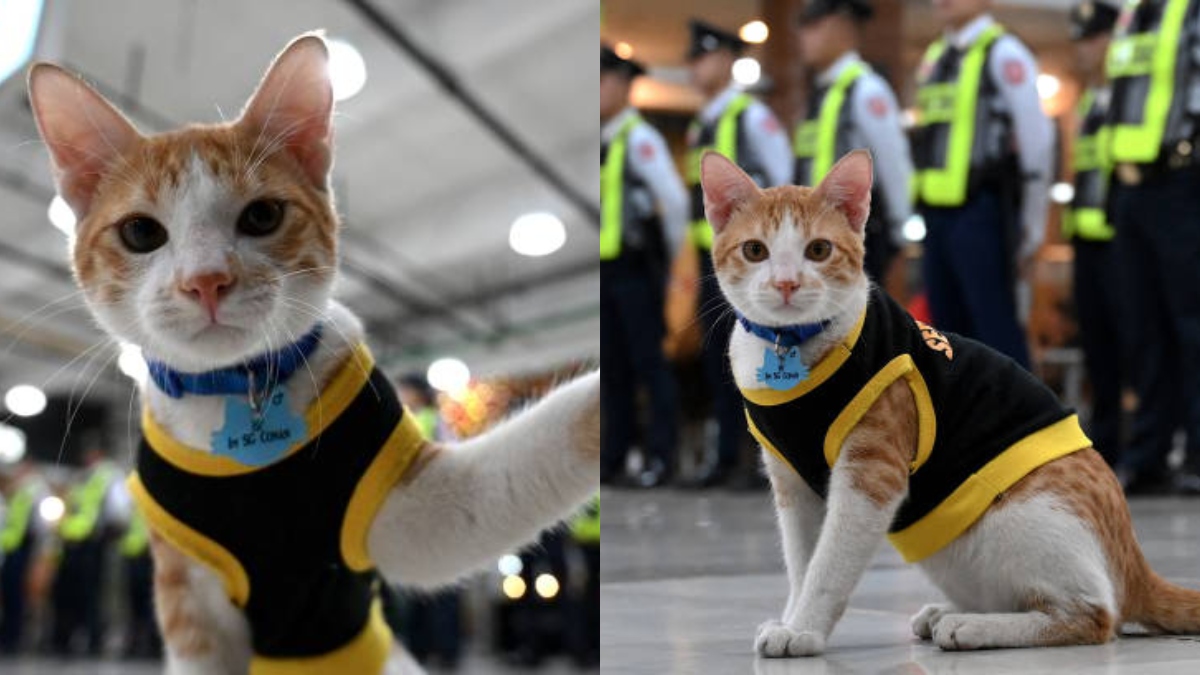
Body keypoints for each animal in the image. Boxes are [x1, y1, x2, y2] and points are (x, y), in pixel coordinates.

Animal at [23, 32, 595, 672]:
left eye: (263, 216)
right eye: (141, 233)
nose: (206, 280)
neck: (239, 386)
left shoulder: (420, 515)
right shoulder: (189, 595)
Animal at [696, 149, 1200, 653]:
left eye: (818, 251)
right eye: (755, 251)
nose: (786, 283)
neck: (790, 343)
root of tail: (1135, 565)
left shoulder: (870, 475)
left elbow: (828, 565)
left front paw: (804, 629)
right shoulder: (791, 482)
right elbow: (802, 562)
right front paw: (791, 618)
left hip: (1025, 518)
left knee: (1094, 616)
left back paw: (973, 626)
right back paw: (953, 612)